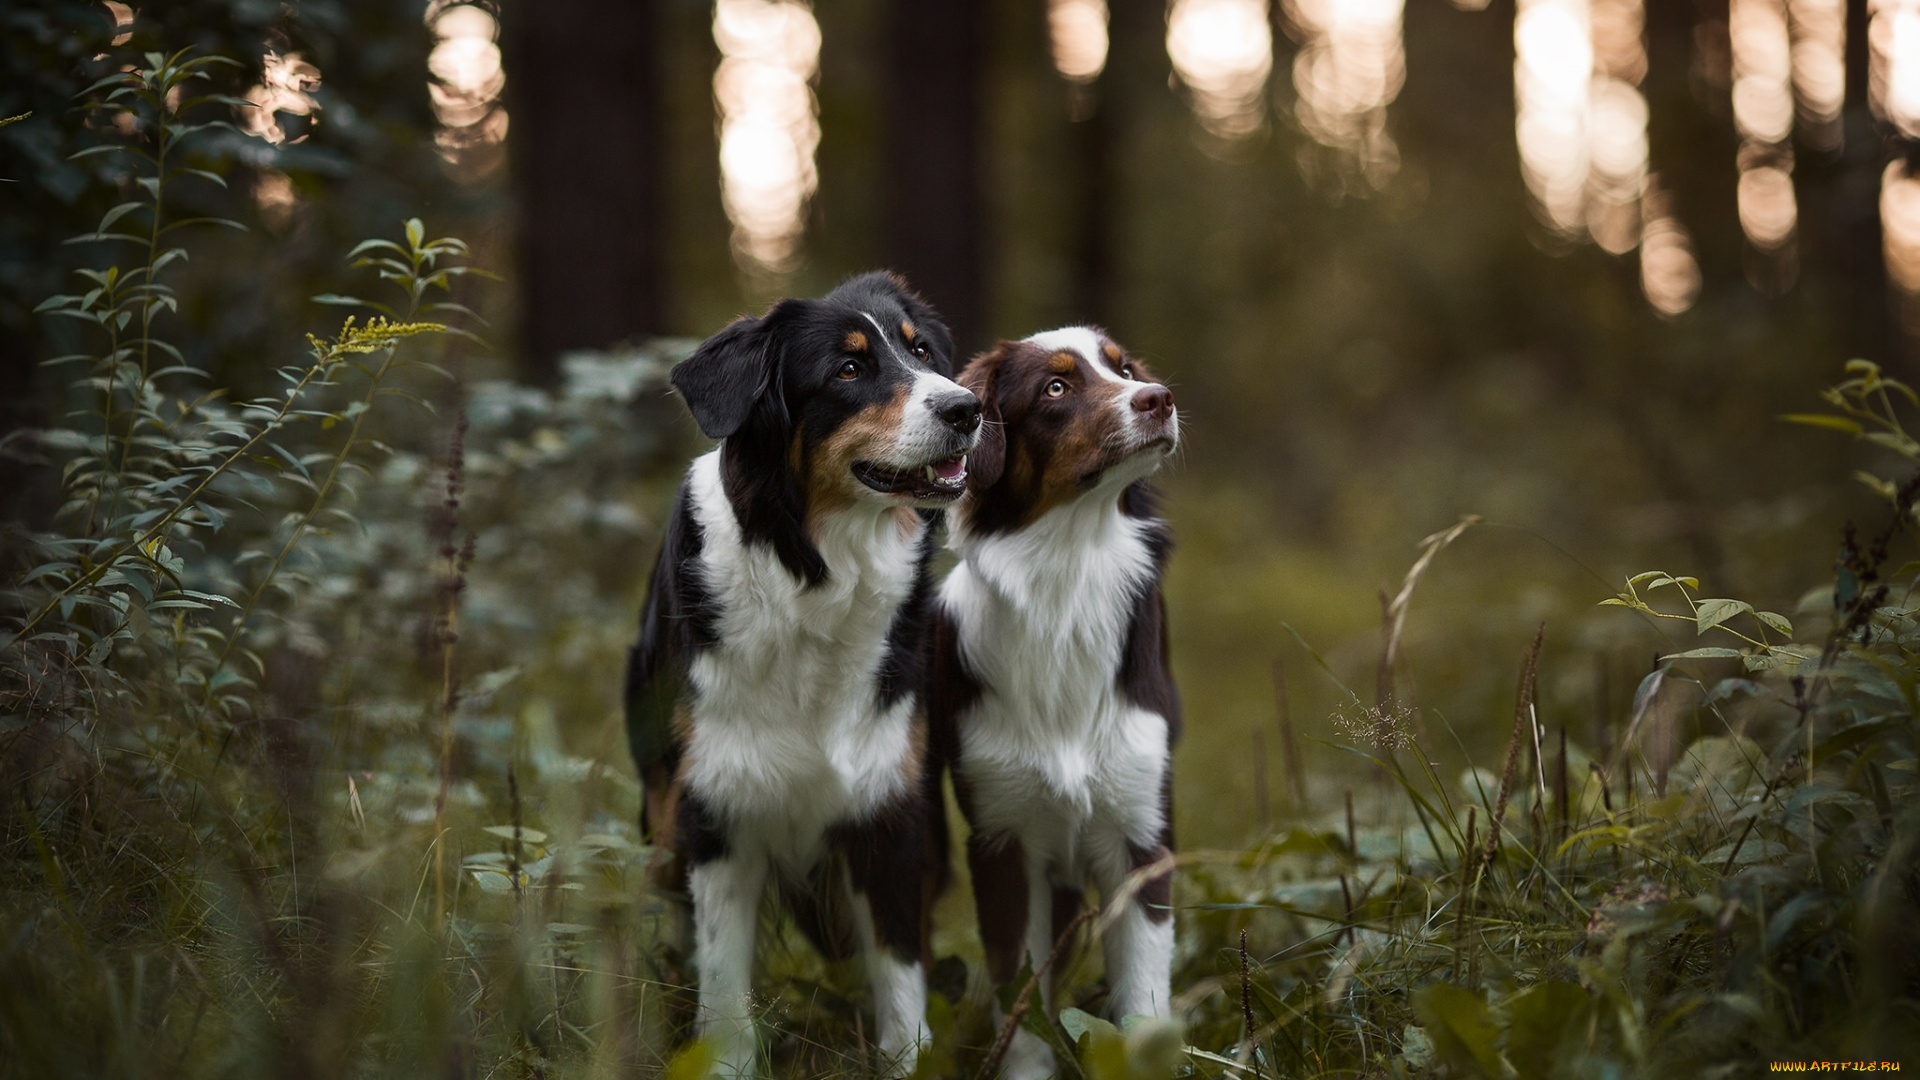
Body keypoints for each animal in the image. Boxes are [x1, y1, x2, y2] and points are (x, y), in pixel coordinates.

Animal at [629, 272, 983, 1068]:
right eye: (848, 370)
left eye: (922, 351)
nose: (967, 407)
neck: (818, 578)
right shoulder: (714, 810)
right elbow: (724, 988)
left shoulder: (890, 808)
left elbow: (902, 982)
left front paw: (908, 1061)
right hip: (662, 829)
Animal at [933, 328, 1182, 1076]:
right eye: (1056, 387)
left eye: (1123, 368)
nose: (1160, 398)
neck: (1068, 576)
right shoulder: (1003, 843)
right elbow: (1021, 1003)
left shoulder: (1142, 834)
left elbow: (1143, 1003)